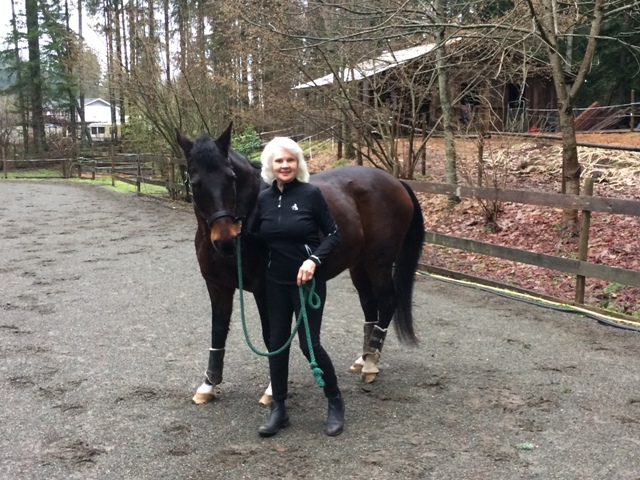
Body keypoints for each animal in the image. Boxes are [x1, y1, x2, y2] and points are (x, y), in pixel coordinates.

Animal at [176, 123, 425, 405]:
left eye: (231, 177)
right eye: (195, 182)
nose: (226, 240)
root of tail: (396, 182)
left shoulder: (265, 290)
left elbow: (271, 335)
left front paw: (272, 389)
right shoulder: (217, 286)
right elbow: (217, 331)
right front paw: (208, 385)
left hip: (378, 264)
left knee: (387, 301)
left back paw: (371, 363)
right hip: (359, 266)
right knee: (369, 304)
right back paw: (364, 359)